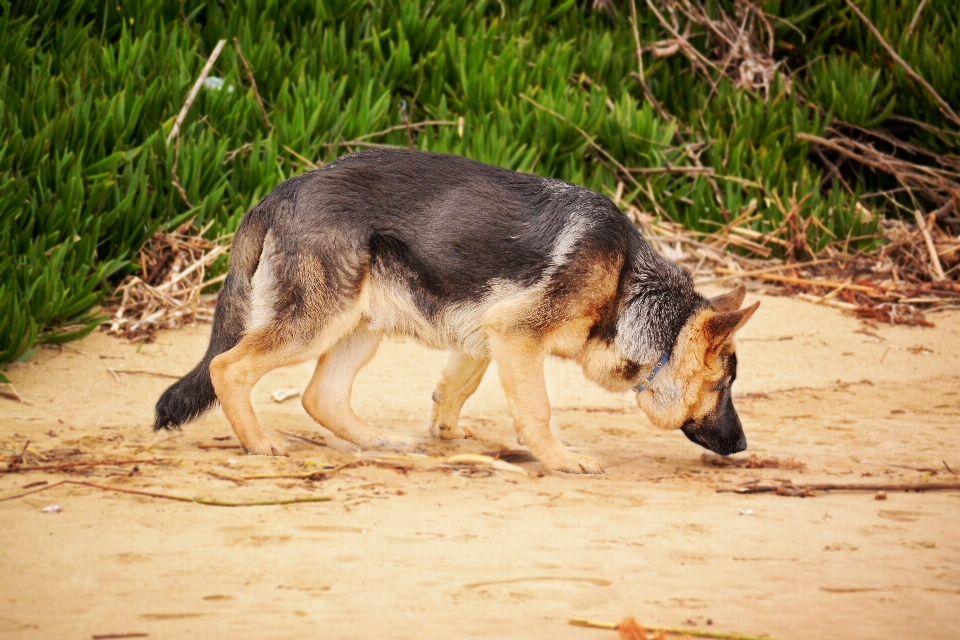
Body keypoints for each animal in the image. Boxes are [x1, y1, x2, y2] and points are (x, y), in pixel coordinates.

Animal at [156, 148, 756, 472]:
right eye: (723, 386)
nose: (744, 444)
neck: (628, 286)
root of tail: (280, 192)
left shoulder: (488, 334)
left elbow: (456, 388)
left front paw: (444, 431)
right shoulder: (516, 335)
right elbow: (537, 410)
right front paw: (560, 459)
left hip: (359, 326)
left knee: (319, 396)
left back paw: (379, 441)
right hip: (315, 324)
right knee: (226, 367)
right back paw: (258, 444)